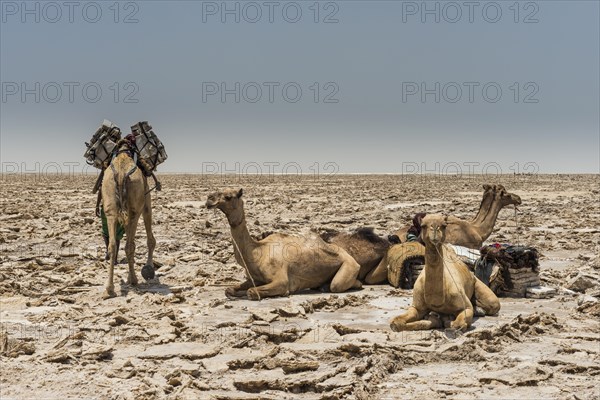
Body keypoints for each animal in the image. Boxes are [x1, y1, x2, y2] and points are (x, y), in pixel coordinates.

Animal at [101, 139, 156, 298]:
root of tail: (120, 174)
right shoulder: (146, 202)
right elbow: (150, 240)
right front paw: (148, 267)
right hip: (135, 211)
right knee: (130, 245)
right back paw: (133, 279)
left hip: (110, 210)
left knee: (113, 245)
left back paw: (109, 288)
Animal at [206, 189, 360, 298]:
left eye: (228, 196)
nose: (209, 199)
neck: (256, 252)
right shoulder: (254, 279)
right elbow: (229, 289)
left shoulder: (281, 280)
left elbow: (252, 292)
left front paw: (284, 293)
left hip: (349, 265)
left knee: (338, 285)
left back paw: (327, 286)